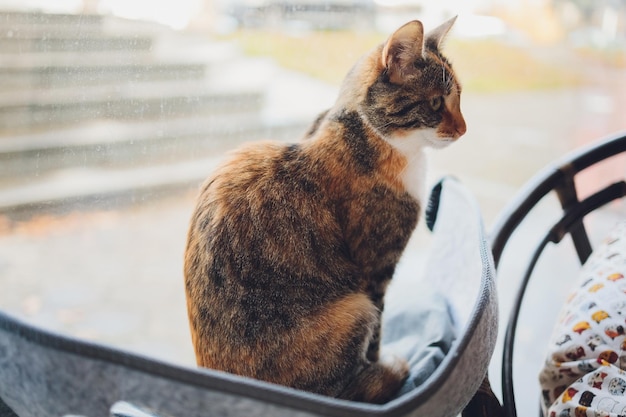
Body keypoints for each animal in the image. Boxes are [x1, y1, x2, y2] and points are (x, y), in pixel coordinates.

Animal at [183, 16, 466, 404]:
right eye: (437, 102)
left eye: (460, 97)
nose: (464, 129)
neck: (364, 134)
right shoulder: (373, 273)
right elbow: (376, 340)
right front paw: (381, 365)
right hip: (354, 308)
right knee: (341, 391)